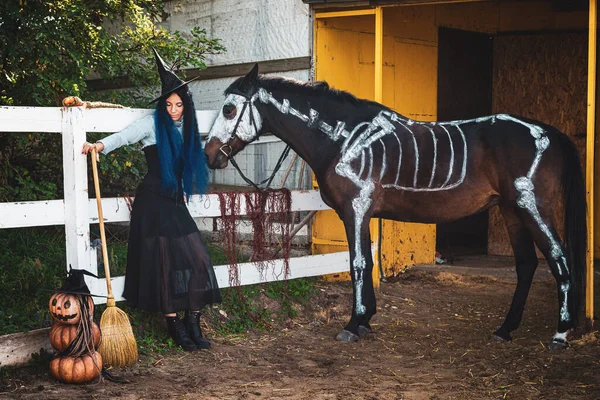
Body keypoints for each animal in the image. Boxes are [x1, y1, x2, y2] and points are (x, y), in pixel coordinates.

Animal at [205, 64, 584, 348]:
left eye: (229, 109)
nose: (210, 155)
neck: (345, 138)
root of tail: (550, 133)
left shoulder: (356, 209)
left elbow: (358, 262)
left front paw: (353, 324)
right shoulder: (363, 213)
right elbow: (368, 261)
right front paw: (365, 321)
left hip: (533, 208)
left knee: (560, 259)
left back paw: (560, 334)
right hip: (512, 211)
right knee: (527, 265)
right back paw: (505, 330)